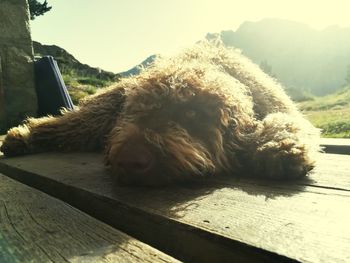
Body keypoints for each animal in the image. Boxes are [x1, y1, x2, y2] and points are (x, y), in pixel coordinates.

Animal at [0, 41, 318, 186]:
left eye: (192, 114)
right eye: (134, 112)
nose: (130, 160)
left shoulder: (278, 108)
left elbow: (285, 122)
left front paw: (280, 147)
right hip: (96, 114)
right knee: (61, 124)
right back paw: (21, 136)